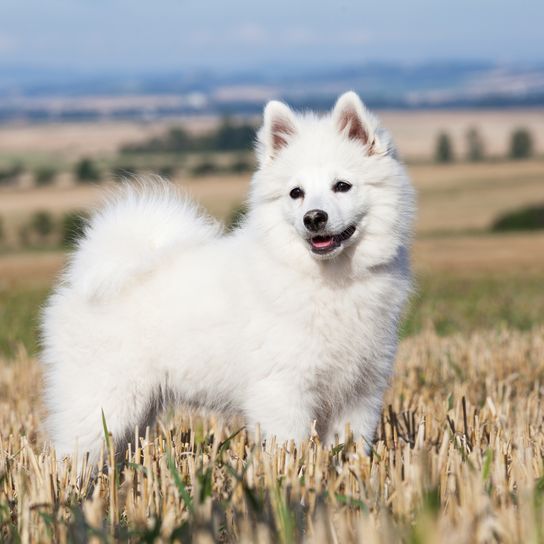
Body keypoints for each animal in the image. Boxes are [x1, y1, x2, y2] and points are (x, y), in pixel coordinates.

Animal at [41, 90, 416, 464]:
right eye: (296, 192)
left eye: (342, 186)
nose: (314, 218)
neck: (329, 278)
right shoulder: (283, 390)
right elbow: (288, 448)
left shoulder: (359, 393)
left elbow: (350, 449)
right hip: (102, 400)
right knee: (70, 454)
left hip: (138, 410)